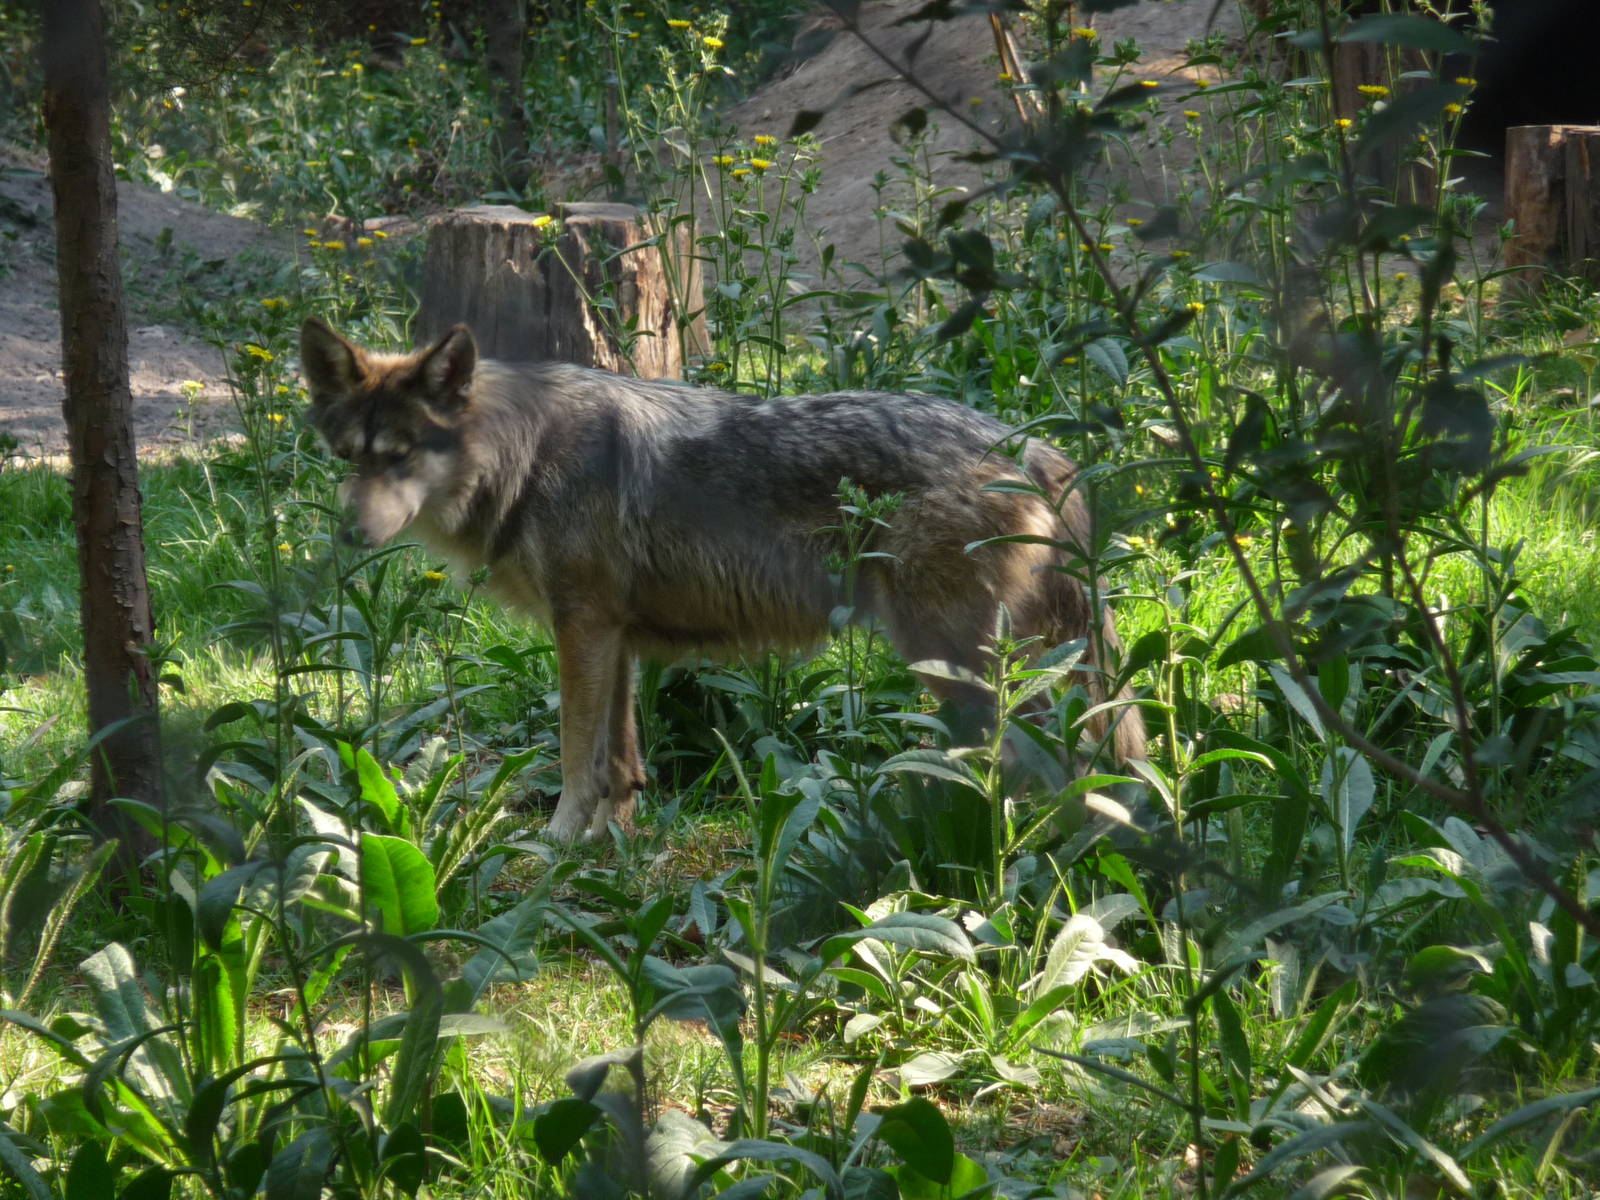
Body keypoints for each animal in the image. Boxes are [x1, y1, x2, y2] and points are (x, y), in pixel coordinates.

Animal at [299, 318, 1146, 840]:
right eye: (348, 457)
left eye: (401, 455)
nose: (350, 533)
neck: (525, 456)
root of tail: (1037, 450)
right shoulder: (613, 637)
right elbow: (620, 761)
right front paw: (610, 845)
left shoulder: (582, 629)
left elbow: (575, 756)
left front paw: (557, 843)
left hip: (961, 668)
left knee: (1052, 761)